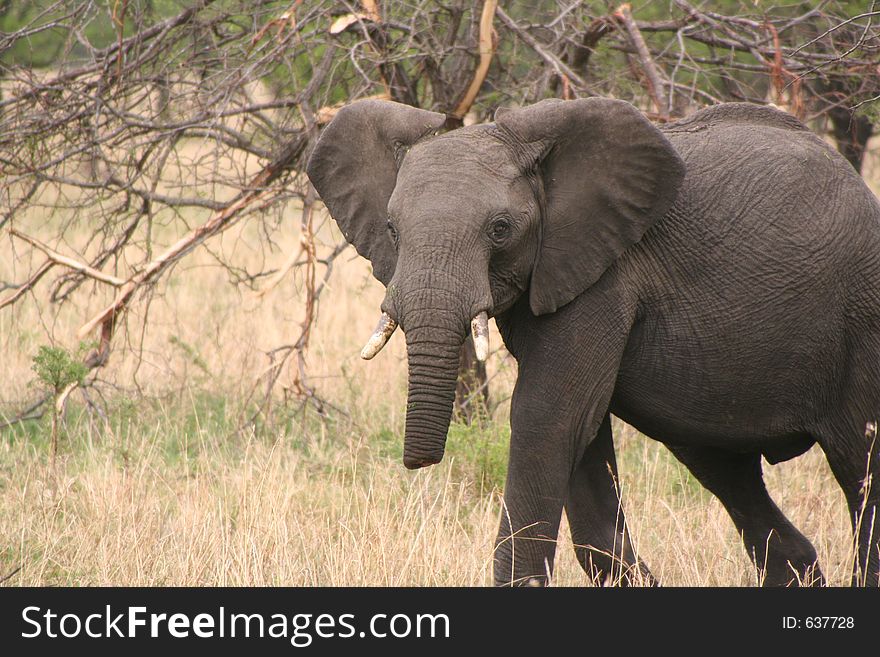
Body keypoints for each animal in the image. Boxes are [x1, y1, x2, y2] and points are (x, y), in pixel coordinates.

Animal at [306, 96, 880, 584]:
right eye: (391, 229)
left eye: (499, 228)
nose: (419, 464)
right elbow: (580, 434)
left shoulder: (606, 275)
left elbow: (547, 418)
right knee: (725, 469)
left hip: (862, 319)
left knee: (860, 465)